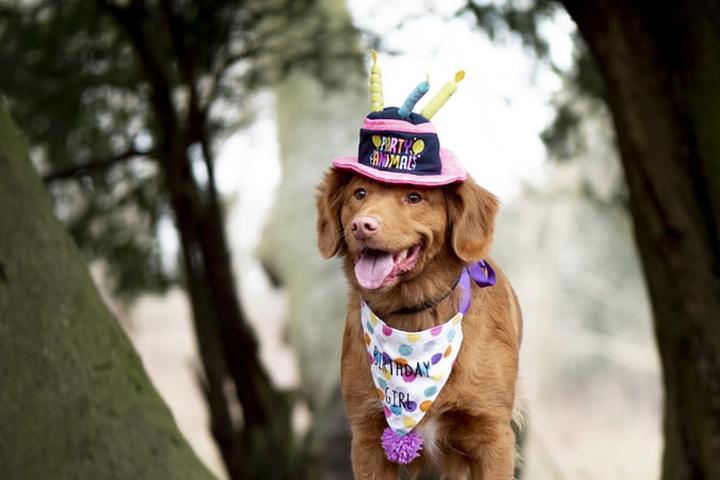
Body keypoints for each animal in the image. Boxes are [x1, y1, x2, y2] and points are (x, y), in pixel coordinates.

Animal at [316, 168, 524, 476]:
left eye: (414, 197)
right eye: (360, 193)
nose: (362, 225)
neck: (413, 316)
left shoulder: (492, 434)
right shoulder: (367, 436)